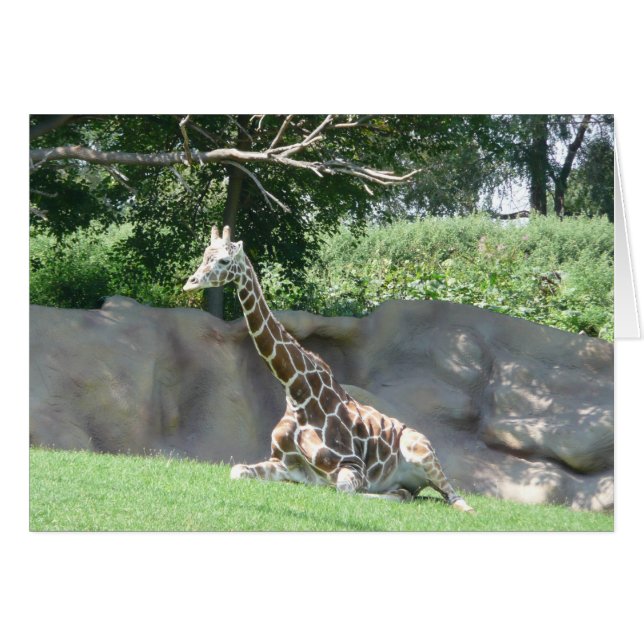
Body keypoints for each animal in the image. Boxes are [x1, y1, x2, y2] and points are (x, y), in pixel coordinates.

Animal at [184, 225, 474, 512]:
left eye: (224, 260)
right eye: (204, 255)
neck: (297, 392)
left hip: (422, 452)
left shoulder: (352, 465)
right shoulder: (281, 463)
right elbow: (237, 471)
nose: (191, 282)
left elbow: (345, 489)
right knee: (409, 493)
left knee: (457, 500)